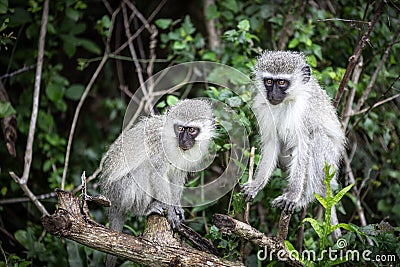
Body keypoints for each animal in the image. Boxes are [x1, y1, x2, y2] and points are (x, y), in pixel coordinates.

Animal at [242, 49, 346, 214]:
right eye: (269, 81)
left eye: (282, 82)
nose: (272, 95)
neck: (286, 102)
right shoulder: (263, 106)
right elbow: (272, 142)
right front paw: (256, 184)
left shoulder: (303, 114)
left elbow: (303, 146)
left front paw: (292, 196)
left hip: (330, 167)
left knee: (317, 138)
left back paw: (305, 197)